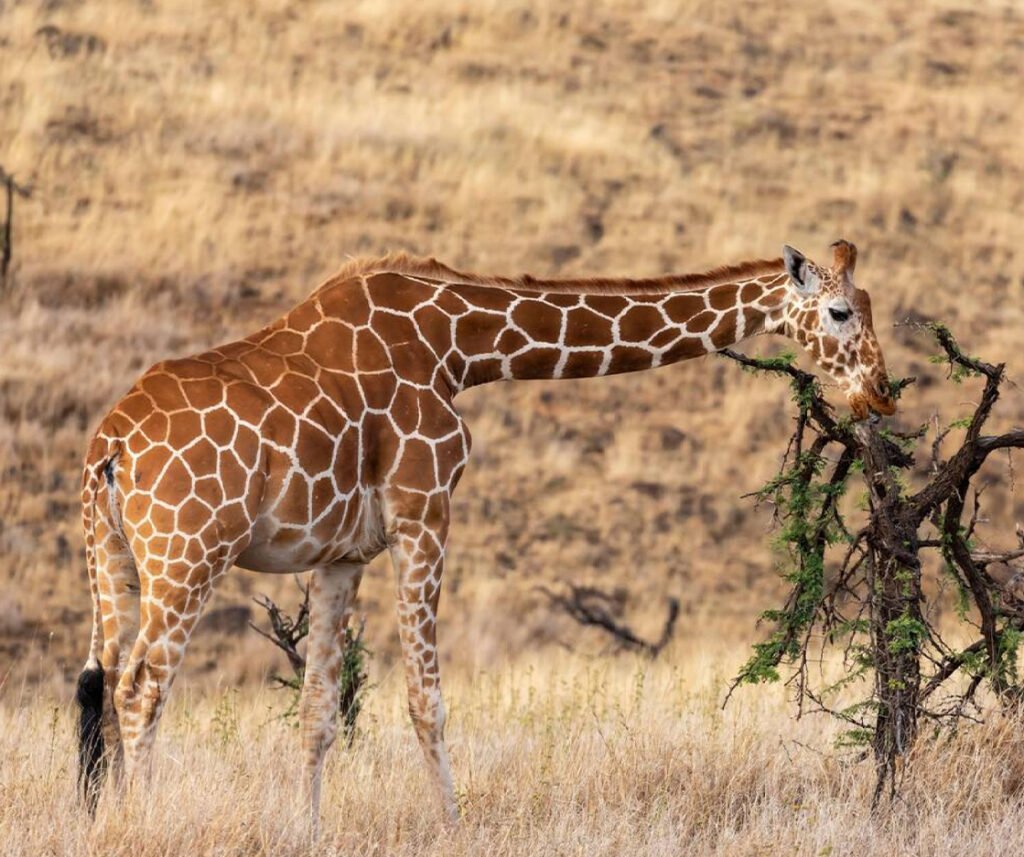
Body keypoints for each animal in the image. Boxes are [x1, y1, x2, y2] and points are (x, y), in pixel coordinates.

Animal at [76, 239, 895, 826]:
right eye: (840, 314)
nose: (880, 393)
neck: (460, 346)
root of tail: (109, 448)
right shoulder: (424, 511)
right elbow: (425, 699)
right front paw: (452, 826)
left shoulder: (342, 553)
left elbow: (318, 710)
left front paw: (306, 832)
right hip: (189, 553)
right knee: (143, 688)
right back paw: (142, 827)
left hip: (112, 558)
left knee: (104, 678)